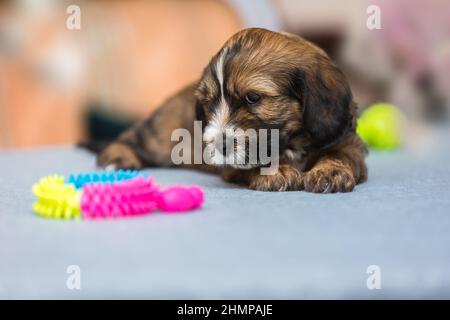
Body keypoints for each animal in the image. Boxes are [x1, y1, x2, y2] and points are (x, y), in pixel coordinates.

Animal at [96, 27, 368, 191]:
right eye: (209, 103)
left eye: (252, 98)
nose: (219, 145)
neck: (292, 143)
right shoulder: (234, 164)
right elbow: (252, 161)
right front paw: (275, 171)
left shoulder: (348, 143)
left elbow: (341, 155)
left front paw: (330, 171)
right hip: (160, 136)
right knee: (127, 139)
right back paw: (118, 159)